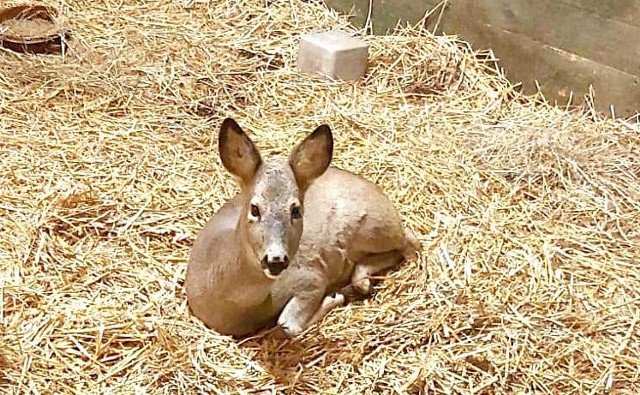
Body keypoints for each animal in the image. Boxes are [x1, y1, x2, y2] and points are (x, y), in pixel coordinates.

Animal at [185, 117, 420, 338]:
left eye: (296, 210)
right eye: (254, 208)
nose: (276, 260)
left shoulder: (310, 277)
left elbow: (287, 325)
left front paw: (332, 299)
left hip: (373, 228)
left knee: (410, 243)